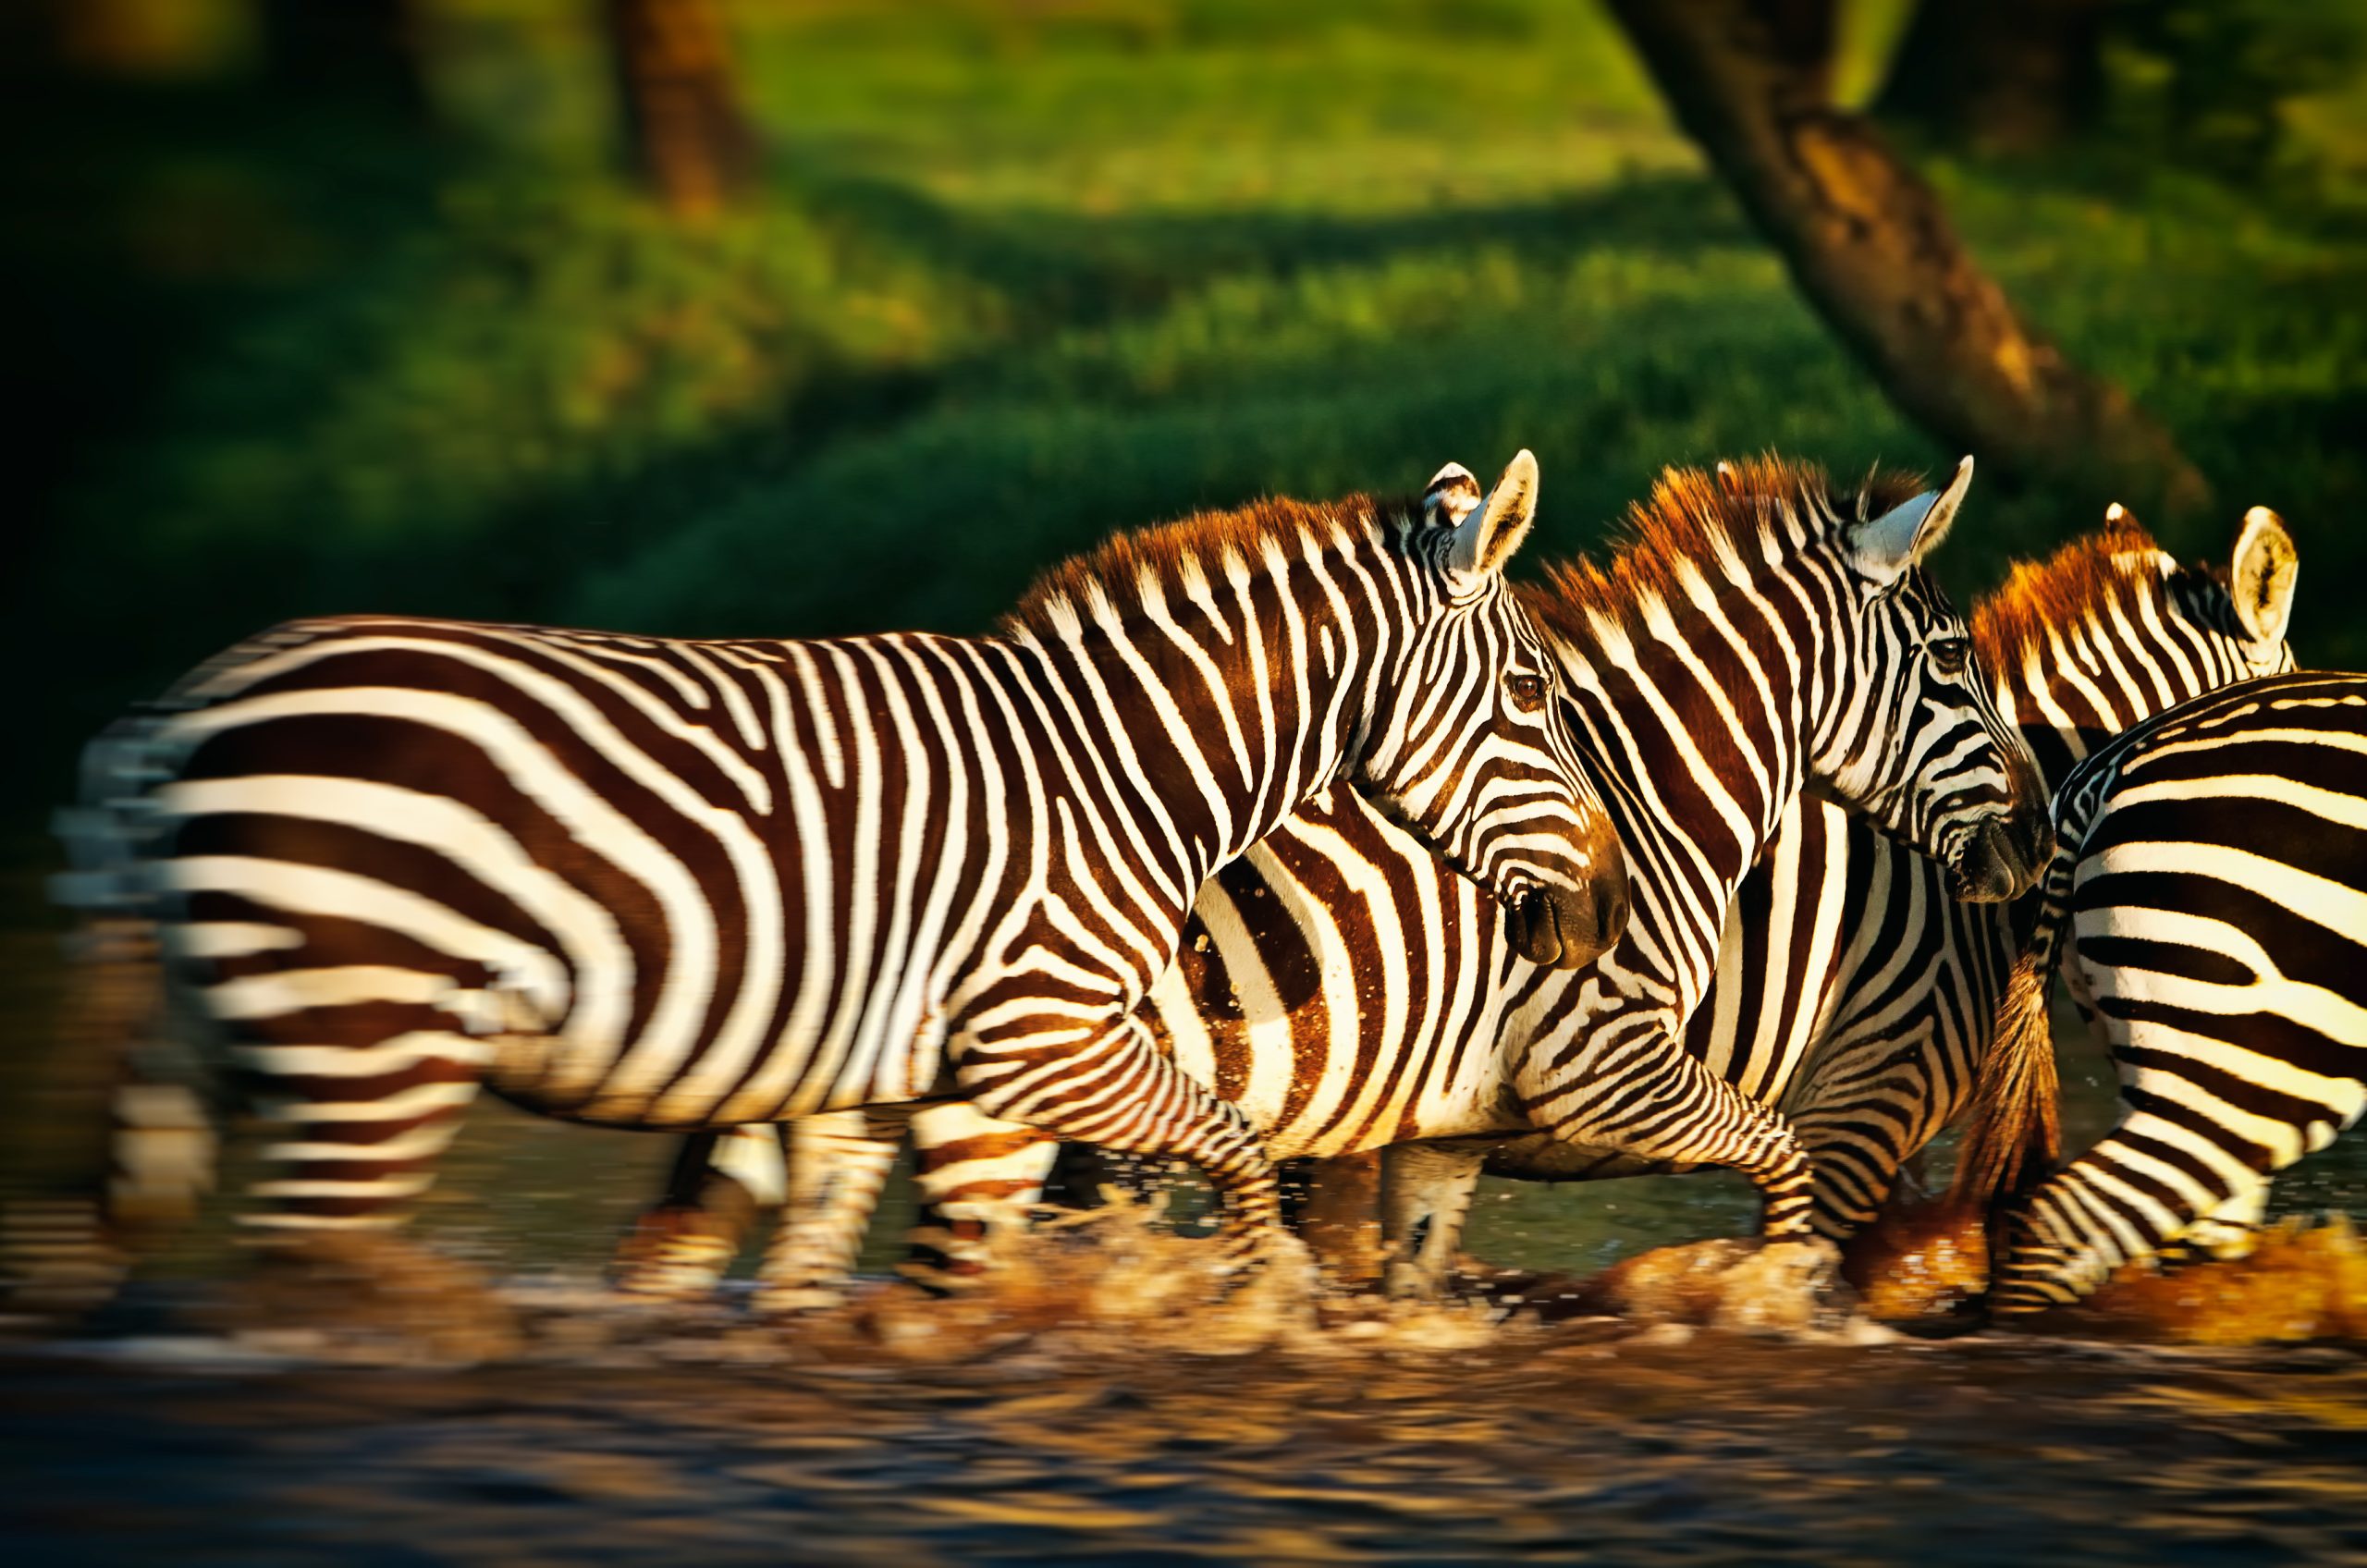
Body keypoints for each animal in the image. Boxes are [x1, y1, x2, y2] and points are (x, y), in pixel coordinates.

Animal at [27, 452, 1627, 1316]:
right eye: (1539, 699)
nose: (1604, 912)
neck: (1116, 772)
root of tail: (180, 708)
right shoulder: (1037, 1039)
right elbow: (1232, 1148)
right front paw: (1269, 1313)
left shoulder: (874, 1073)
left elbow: (829, 1286)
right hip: (367, 1045)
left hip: (214, 1037)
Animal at [615, 452, 2054, 1308]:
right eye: (1947, 665)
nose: (2036, 845)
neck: (1653, 801)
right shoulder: (1616, 1068)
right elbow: (1782, 1172)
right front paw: (1768, 1305)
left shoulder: (1447, 1129)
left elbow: (1411, 1286)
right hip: (1005, 1120)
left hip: (867, 1106)